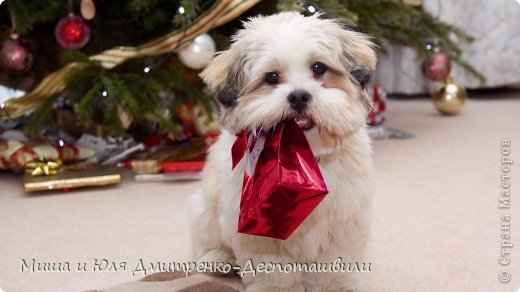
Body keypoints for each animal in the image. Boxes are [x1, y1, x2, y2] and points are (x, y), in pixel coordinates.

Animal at [189, 12, 376, 292]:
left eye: (318, 68)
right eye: (272, 77)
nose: (299, 96)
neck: (302, 158)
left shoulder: (343, 220)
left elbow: (335, 263)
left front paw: (338, 285)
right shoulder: (260, 230)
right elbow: (273, 270)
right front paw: (275, 288)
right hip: (205, 210)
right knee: (204, 242)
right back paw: (217, 258)